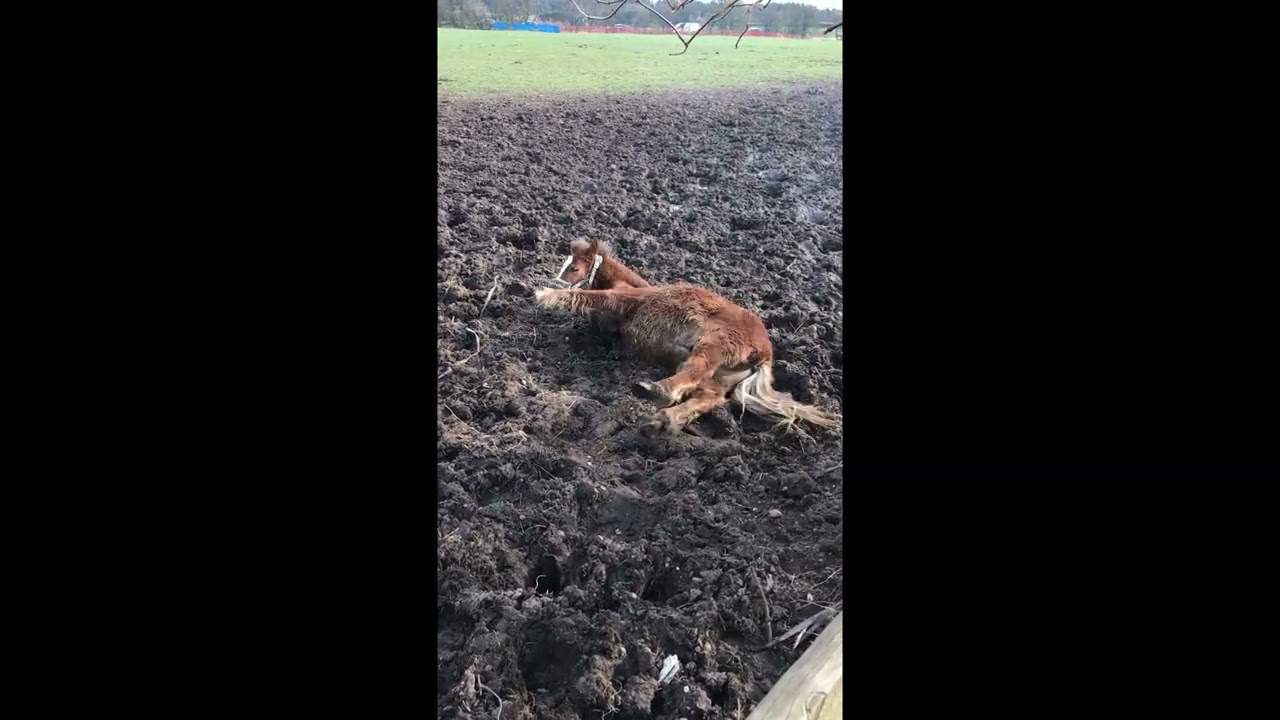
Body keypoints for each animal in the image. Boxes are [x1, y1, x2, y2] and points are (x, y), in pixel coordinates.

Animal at [534, 247, 839, 436]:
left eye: (574, 267)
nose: (555, 281)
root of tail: (766, 354)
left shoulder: (624, 299)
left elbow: (594, 297)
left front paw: (544, 295)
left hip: (714, 344)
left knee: (692, 373)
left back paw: (654, 390)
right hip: (722, 376)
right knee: (707, 396)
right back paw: (663, 420)